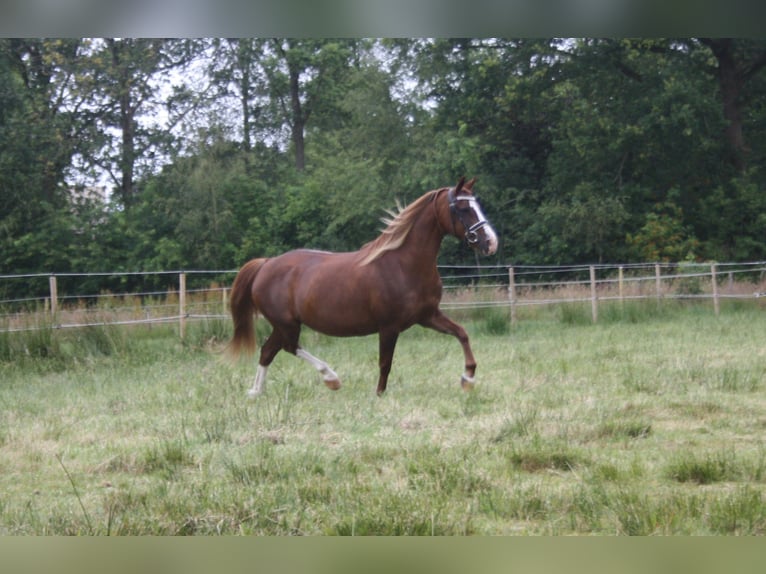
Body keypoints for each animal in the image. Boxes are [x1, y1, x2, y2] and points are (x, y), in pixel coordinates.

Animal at [228, 178, 500, 398]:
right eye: (463, 209)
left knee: (268, 351)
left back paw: (256, 392)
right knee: (288, 347)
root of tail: (266, 264)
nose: (491, 242)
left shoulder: (427, 316)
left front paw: (468, 379)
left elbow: (461, 333)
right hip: (287, 324)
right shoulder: (389, 326)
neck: (404, 264)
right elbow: (385, 362)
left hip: (282, 324)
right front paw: (379, 393)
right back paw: (331, 378)